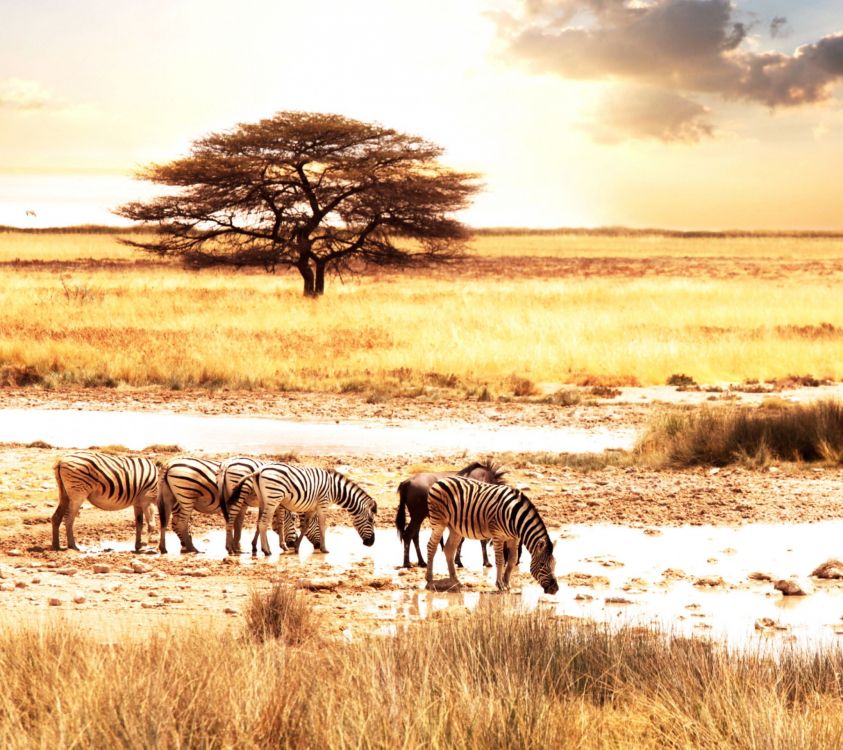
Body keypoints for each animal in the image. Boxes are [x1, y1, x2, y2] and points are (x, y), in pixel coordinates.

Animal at [231, 464, 376, 560]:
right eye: (371, 520)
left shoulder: (312, 508)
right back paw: (267, 551)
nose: (371, 543)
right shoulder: (323, 504)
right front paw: (324, 549)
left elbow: (305, 526)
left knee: (260, 523)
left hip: (263, 499)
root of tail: (259, 471)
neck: (335, 489)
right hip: (273, 498)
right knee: (263, 523)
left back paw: (263, 548)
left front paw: (296, 547)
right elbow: (322, 526)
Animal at [426, 478, 556, 596]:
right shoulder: (498, 535)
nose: (555, 589)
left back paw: (456, 581)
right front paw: (500, 584)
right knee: (431, 546)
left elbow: (512, 559)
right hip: (439, 522)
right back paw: (429, 580)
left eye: (555, 564)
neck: (515, 517)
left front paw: (507, 583)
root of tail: (440, 480)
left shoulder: (514, 538)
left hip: (455, 528)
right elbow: (500, 560)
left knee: (449, 549)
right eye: (542, 565)